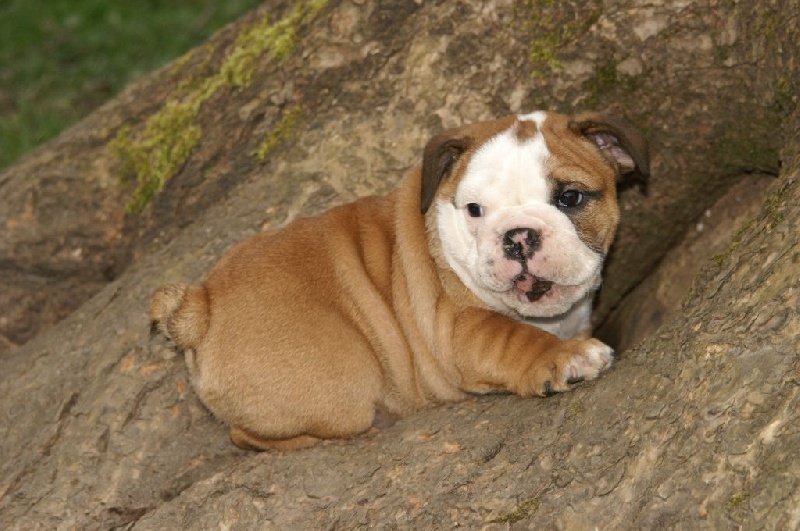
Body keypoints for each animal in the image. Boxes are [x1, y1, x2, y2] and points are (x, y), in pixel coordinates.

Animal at [151, 111, 649, 450]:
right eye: (475, 210)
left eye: (571, 198)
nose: (518, 237)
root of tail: (201, 304)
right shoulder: (457, 327)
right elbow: (513, 338)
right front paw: (564, 358)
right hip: (343, 383)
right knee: (245, 434)